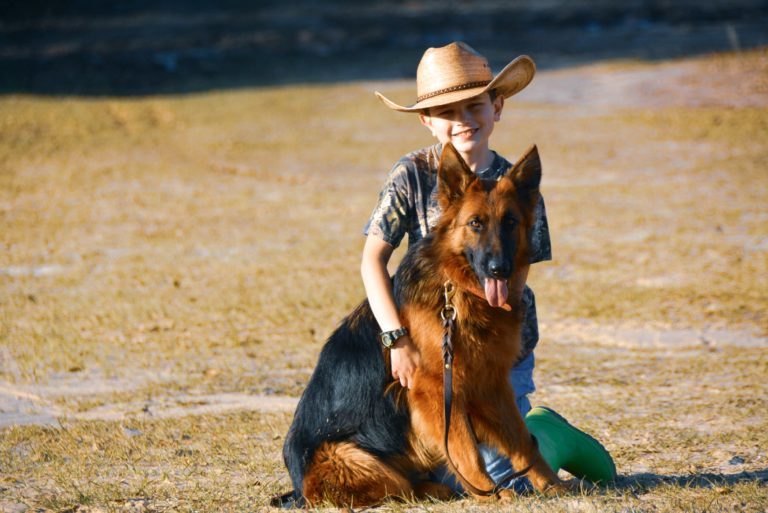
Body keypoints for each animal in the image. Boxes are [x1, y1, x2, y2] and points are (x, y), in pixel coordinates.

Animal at [278, 142, 564, 506]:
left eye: (510, 222)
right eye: (476, 223)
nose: (499, 269)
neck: (458, 292)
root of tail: (298, 487)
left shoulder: (492, 385)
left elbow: (523, 442)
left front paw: (554, 485)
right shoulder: (437, 392)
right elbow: (466, 452)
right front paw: (490, 495)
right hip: (354, 458)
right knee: (400, 487)